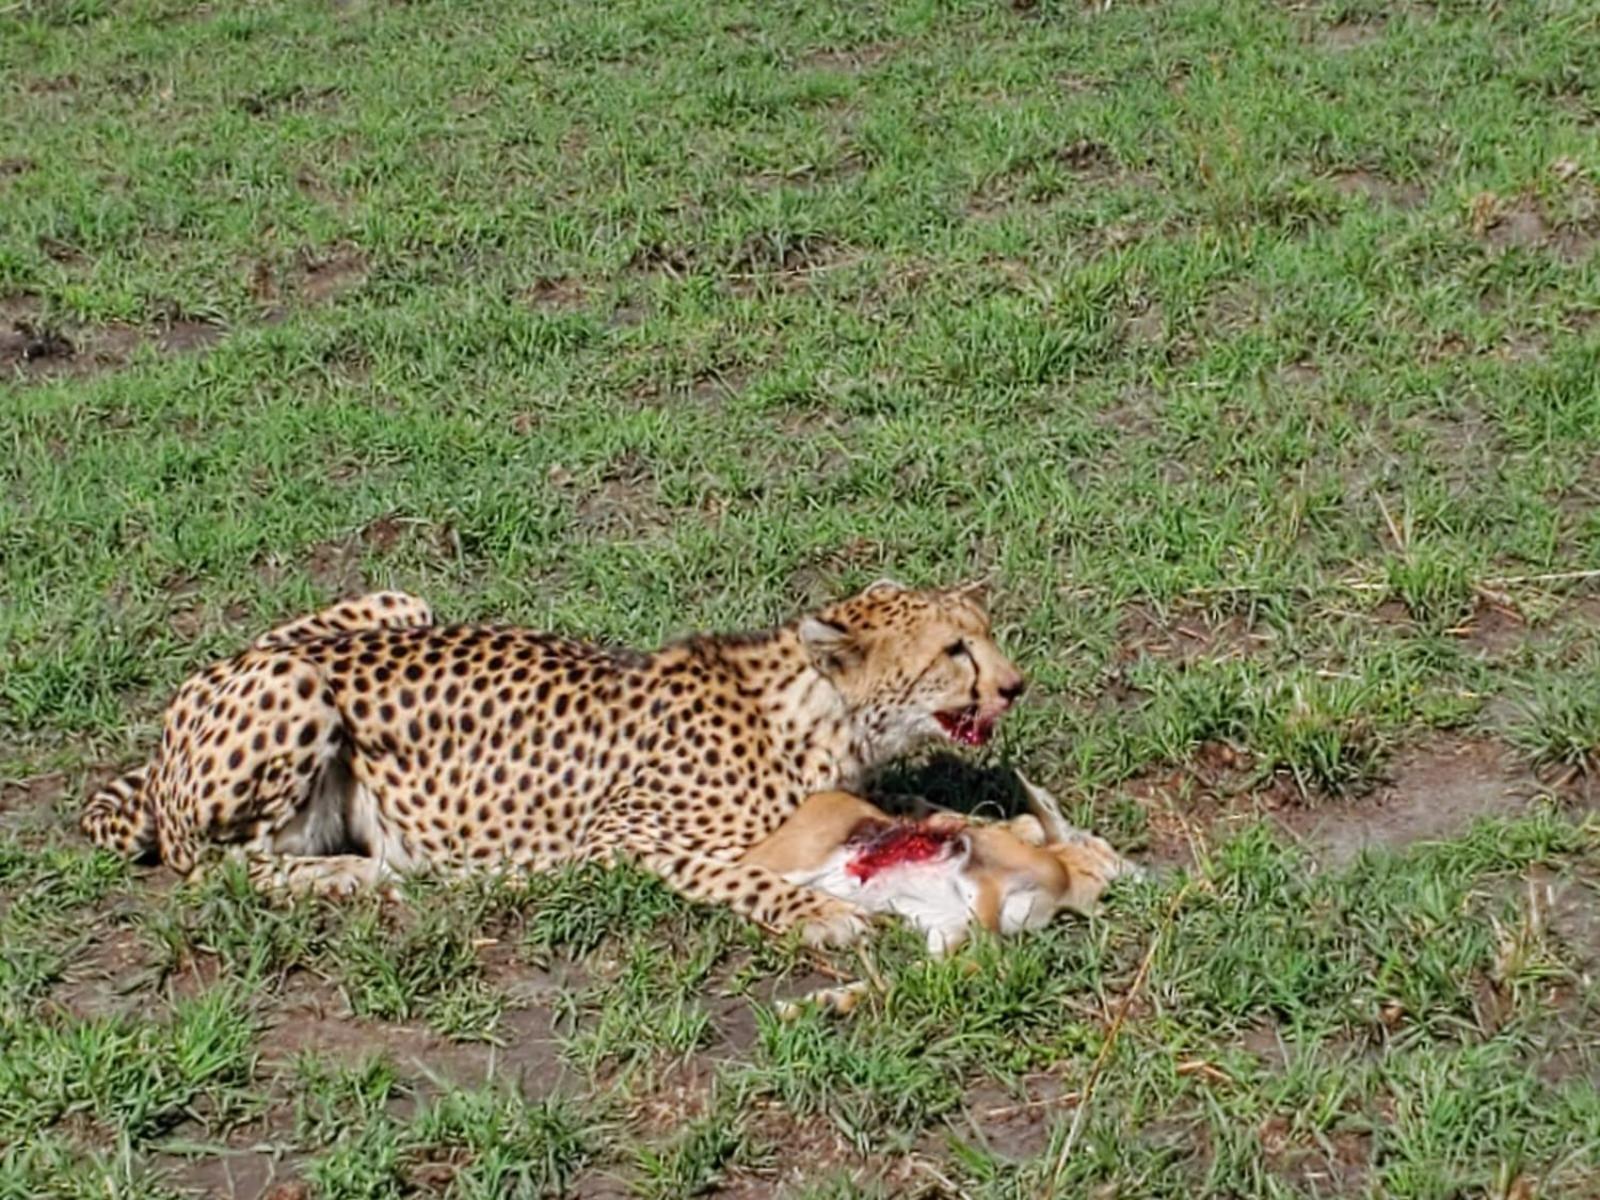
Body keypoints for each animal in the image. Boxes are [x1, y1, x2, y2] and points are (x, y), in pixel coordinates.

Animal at [78, 585, 1024, 947]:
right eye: (954, 650)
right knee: (207, 866)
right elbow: (738, 873)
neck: (817, 714)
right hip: (295, 683)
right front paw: (818, 913)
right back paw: (346, 874)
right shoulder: (621, 836)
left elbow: (902, 810)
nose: (1016, 685)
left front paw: (971, 824)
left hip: (400, 601)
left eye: (984, 631)